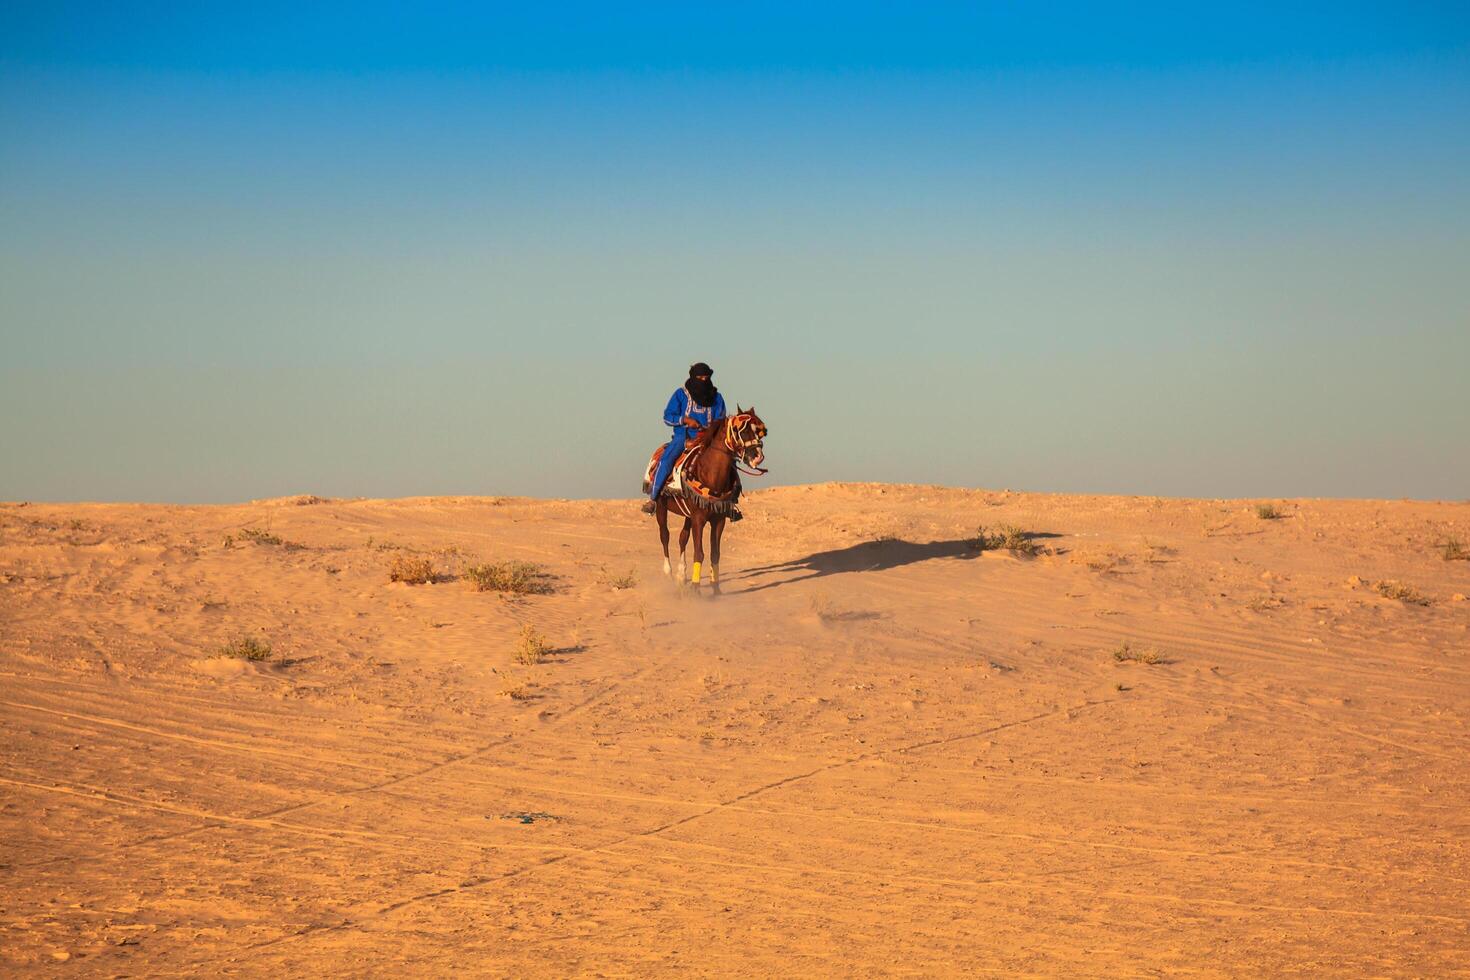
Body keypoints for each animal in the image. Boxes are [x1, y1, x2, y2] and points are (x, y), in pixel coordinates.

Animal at [652, 405, 776, 590]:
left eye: (760, 432)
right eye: (741, 431)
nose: (757, 456)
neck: (710, 474)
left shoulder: (718, 519)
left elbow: (714, 554)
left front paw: (715, 588)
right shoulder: (698, 519)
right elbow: (699, 553)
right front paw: (696, 589)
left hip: (688, 515)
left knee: (682, 538)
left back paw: (682, 575)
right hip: (661, 506)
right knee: (664, 535)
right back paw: (669, 573)